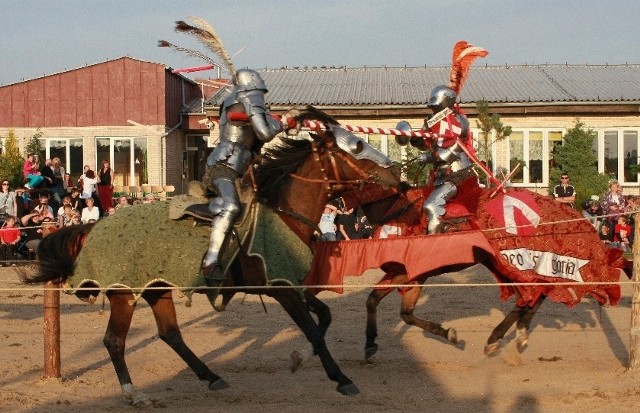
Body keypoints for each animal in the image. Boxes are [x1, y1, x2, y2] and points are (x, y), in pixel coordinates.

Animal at [23, 108, 400, 402]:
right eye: (356, 148)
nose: (394, 174)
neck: (283, 212)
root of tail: (95, 227)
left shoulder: (292, 284)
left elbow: (324, 318)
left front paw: (301, 359)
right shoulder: (282, 290)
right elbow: (312, 328)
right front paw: (342, 379)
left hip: (157, 289)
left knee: (170, 334)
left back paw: (211, 377)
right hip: (124, 294)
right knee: (115, 340)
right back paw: (133, 393)